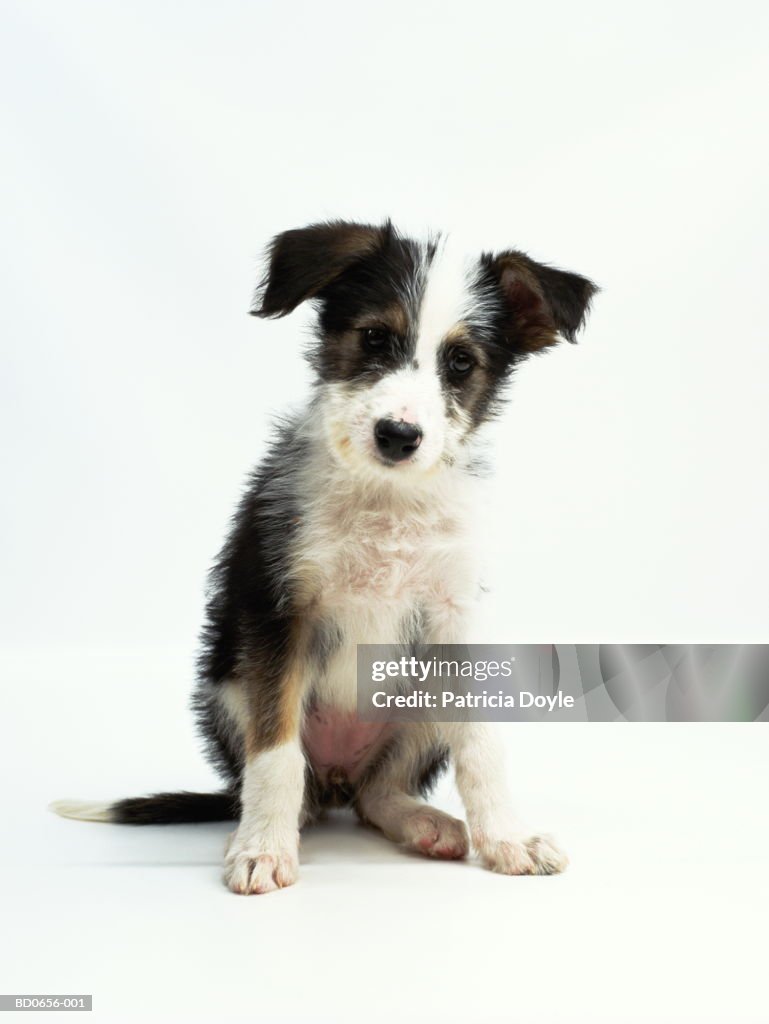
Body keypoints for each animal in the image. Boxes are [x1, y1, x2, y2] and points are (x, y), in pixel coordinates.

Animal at [54, 220, 597, 892]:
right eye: (374, 337)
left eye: (461, 363)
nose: (398, 435)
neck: (386, 498)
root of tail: (338, 777)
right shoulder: (278, 609)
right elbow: (276, 753)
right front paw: (263, 850)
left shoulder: (455, 618)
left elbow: (481, 746)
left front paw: (510, 838)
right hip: (228, 687)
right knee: (292, 788)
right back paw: (262, 830)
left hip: (420, 697)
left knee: (376, 794)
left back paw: (423, 822)